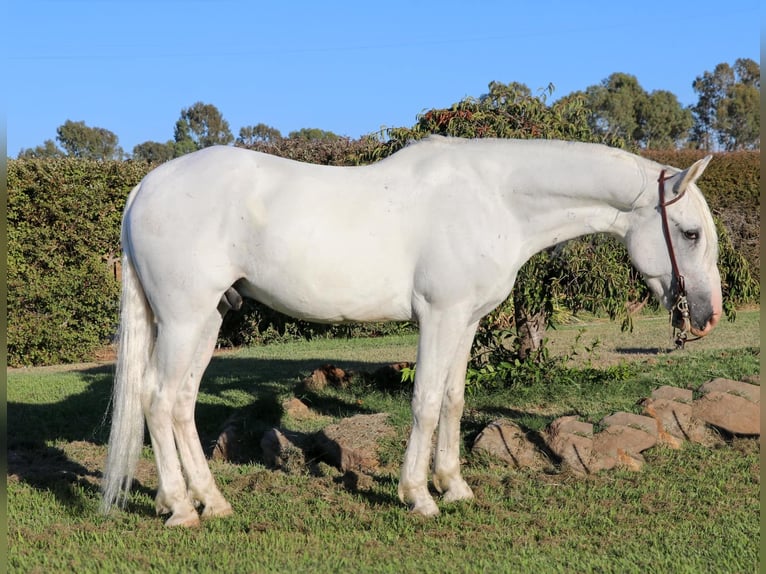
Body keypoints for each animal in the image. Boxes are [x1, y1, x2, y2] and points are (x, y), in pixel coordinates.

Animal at [100, 137, 720, 528]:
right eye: (689, 233)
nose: (708, 316)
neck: (493, 198)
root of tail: (145, 188)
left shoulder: (465, 321)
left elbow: (452, 399)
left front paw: (455, 486)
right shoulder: (440, 316)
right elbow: (423, 402)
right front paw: (419, 496)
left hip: (205, 320)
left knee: (180, 402)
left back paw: (211, 501)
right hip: (184, 318)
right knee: (157, 398)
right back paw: (182, 508)